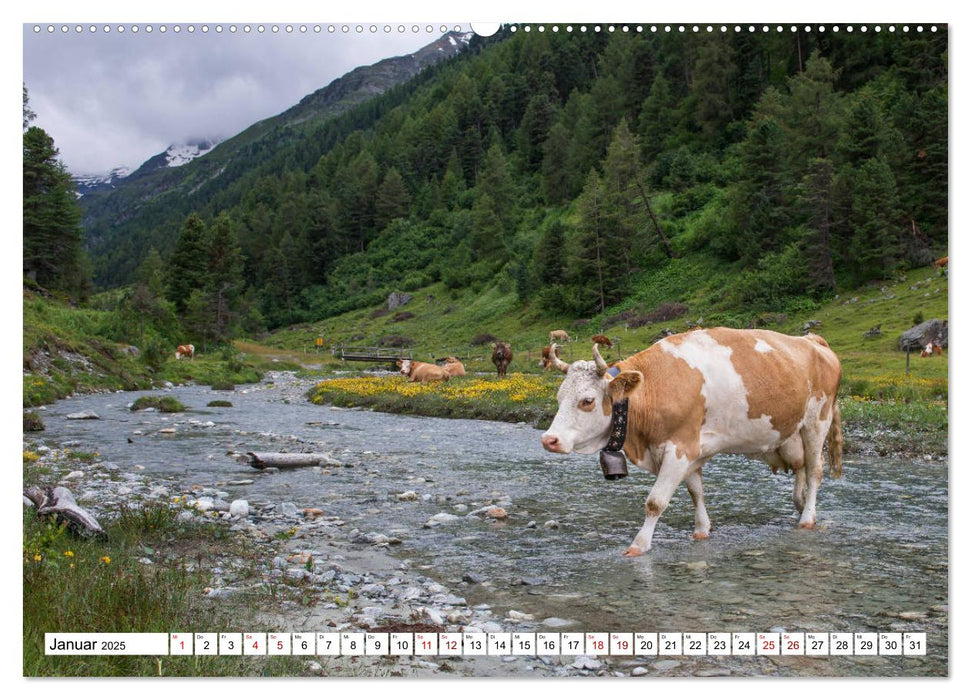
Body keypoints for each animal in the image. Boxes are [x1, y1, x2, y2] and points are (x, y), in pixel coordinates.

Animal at [540, 330, 844, 556]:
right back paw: (800, 505)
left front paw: (639, 545)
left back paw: (807, 518)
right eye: (558, 397)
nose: (548, 439)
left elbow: (656, 502)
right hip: (792, 433)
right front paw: (701, 530)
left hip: (817, 420)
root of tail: (811, 340)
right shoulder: (690, 449)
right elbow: (696, 491)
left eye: (587, 400)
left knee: (814, 471)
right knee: (800, 467)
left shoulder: (680, 448)